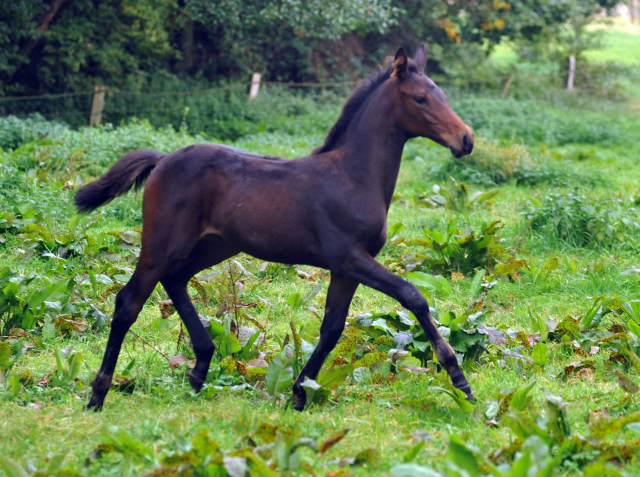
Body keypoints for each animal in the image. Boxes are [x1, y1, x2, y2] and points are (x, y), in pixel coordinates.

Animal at [76, 45, 476, 410]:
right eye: (421, 98)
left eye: (442, 94)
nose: (466, 139)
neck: (353, 176)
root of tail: (162, 160)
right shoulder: (350, 258)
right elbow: (413, 296)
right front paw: (459, 379)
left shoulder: (345, 268)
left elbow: (332, 327)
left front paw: (300, 393)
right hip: (162, 242)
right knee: (129, 301)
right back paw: (98, 394)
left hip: (215, 245)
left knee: (175, 280)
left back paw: (200, 367)